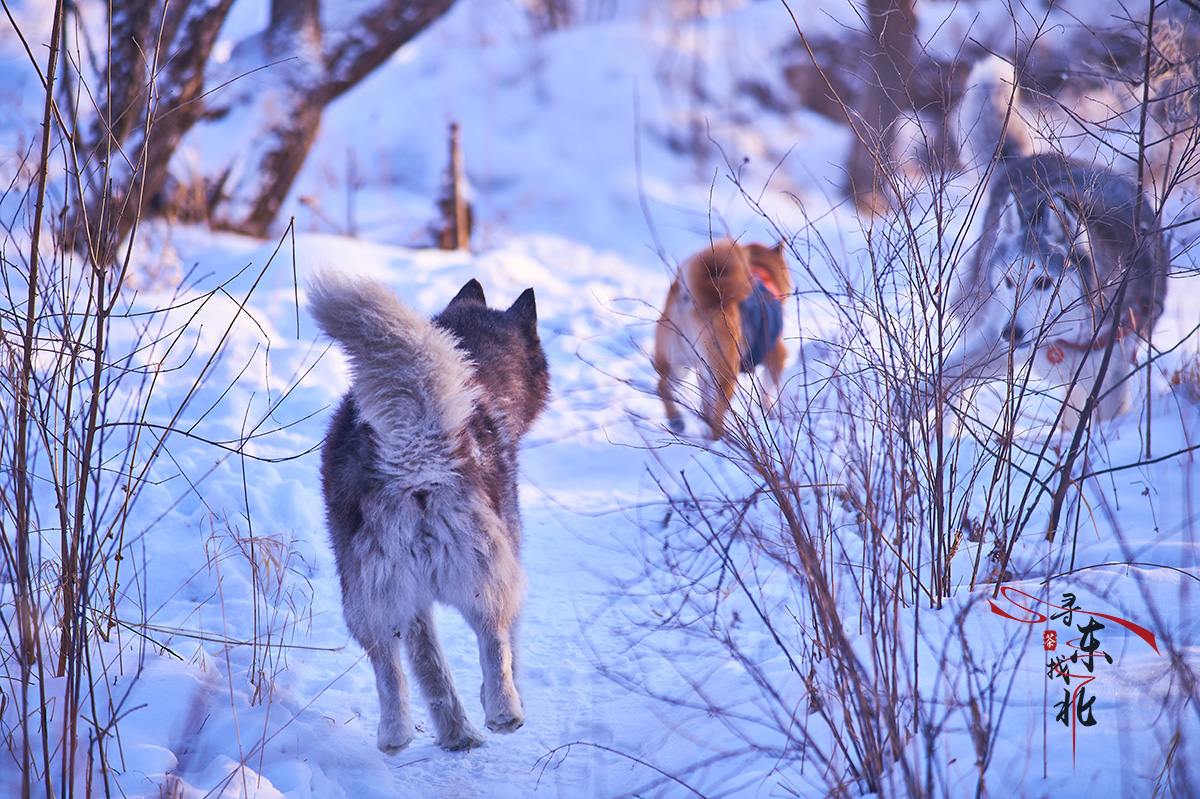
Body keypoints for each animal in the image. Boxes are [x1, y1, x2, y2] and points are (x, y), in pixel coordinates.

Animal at [309, 271, 552, 748]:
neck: (473, 360)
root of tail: (416, 450)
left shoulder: (416, 607)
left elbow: (429, 669)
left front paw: (455, 734)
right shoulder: (512, 548)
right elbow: (510, 645)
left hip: (369, 597)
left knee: (390, 666)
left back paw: (405, 734)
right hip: (487, 575)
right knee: (493, 637)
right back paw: (503, 712)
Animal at [652, 237, 792, 436]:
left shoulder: (704, 373)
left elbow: (705, 401)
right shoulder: (775, 355)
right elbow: (768, 389)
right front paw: (771, 411)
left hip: (678, 363)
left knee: (662, 386)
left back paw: (677, 421)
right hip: (726, 371)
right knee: (718, 413)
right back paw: (719, 437)